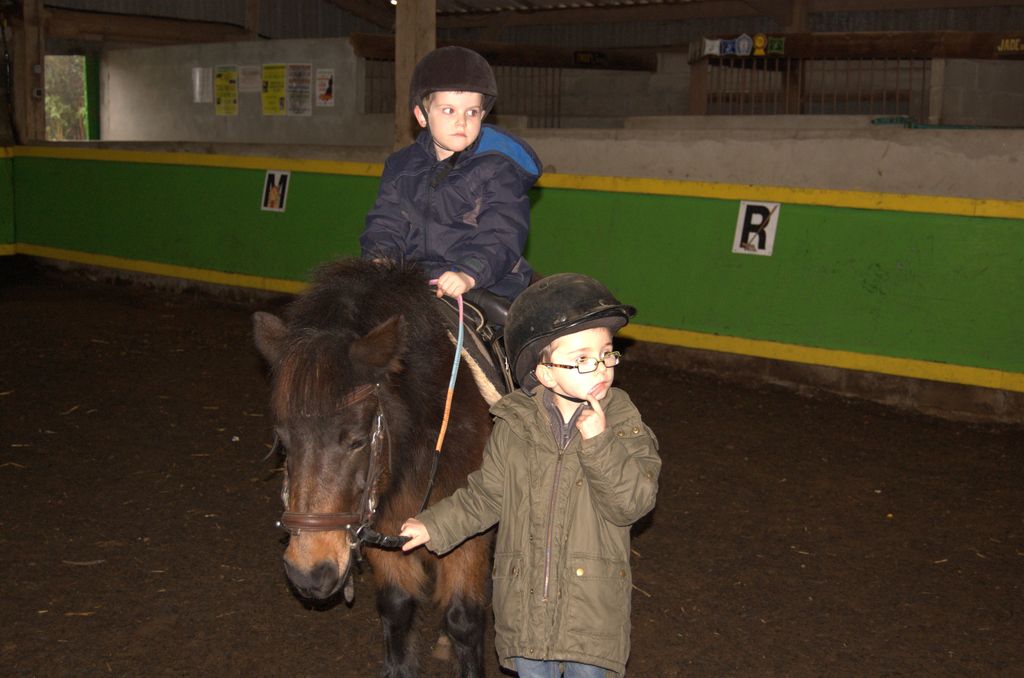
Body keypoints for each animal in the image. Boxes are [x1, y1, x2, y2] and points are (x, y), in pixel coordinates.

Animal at [252, 258, 496, 677]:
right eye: (284, 440)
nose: (308, 572)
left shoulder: (471, 526)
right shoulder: (383, 520)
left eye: (356, 439)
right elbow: (396, 610)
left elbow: (464, 617)